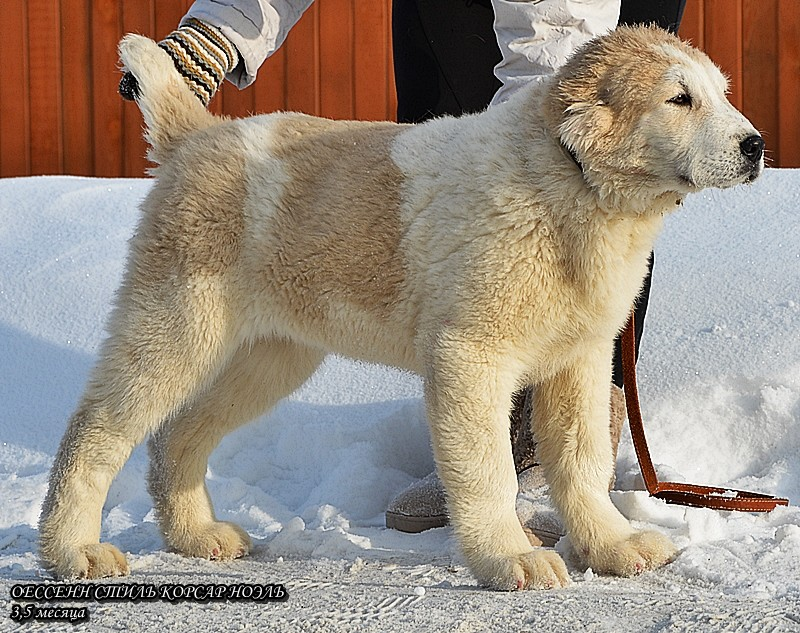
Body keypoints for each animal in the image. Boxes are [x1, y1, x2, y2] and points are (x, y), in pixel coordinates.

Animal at [37, 24, 764, 588]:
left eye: (723, 94)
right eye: (679, 98)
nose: (755, 145)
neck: (569, 185)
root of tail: (198, 136)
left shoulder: (578, 361)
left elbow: (583, 463)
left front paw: (611, 545)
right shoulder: (470, 357)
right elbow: (489, 472)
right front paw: (510, 559)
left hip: (269, 355)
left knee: (177, 433)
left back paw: (196, 535)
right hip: (176, 323)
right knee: (96, 429)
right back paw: (74, 550)